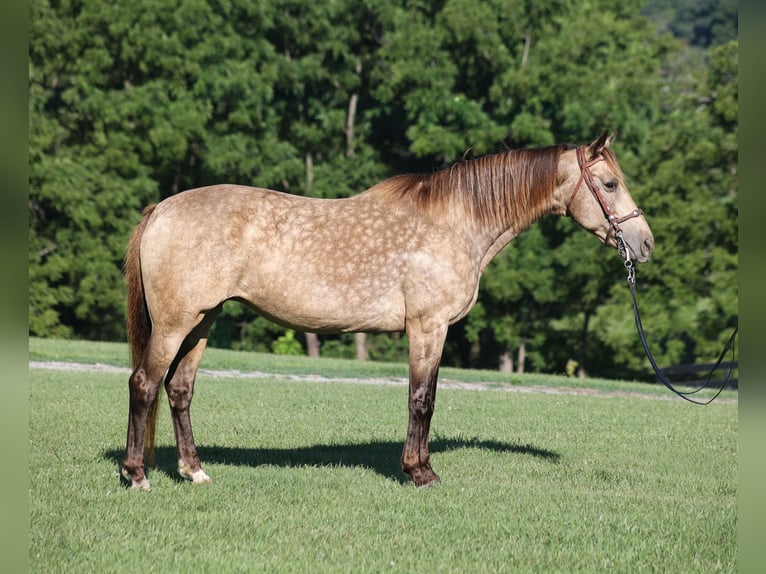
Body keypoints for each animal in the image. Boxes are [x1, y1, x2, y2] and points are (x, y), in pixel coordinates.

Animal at [121, 131, 654, 490]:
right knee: (144, 384)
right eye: (609, 184)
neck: (455, 221)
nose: (645, 243)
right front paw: (421, 472)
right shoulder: (428, 327)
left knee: (179, 389)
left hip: (202, 321)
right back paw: (137, 475)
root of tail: (161, 209)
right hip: (175, 324)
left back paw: (194, 471)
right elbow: (422, 399)